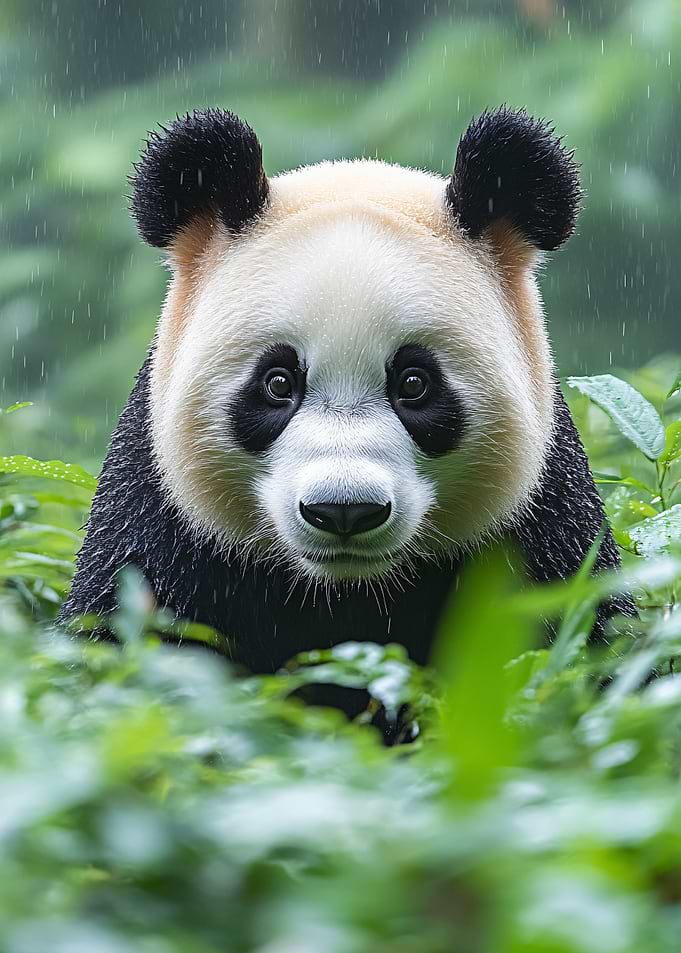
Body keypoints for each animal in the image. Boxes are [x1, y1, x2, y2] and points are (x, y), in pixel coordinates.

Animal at [61, 106, 633, 676]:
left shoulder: (543, 522)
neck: (346, 591)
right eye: (277, 383)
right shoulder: (158, 524)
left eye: (414, 384)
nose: (344, 510)